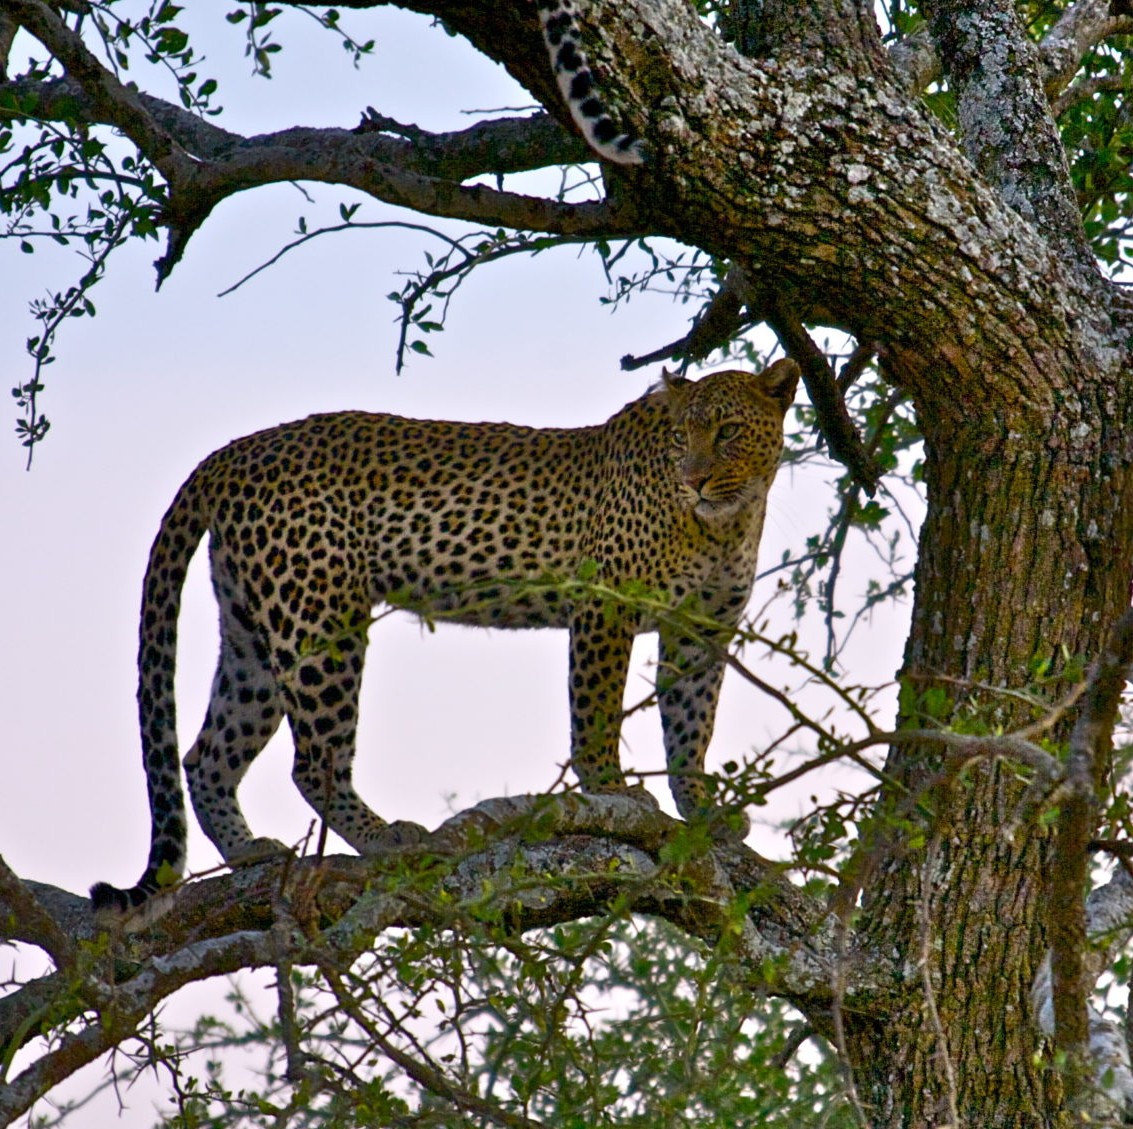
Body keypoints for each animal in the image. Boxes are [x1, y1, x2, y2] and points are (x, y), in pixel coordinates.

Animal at [90, 362, 797, 915]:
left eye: (728, 431)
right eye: (681, 436)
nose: (694, 479)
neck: (728, 521)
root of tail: (234, 451)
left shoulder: (701, 627)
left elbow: (690, 725)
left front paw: (702, 811)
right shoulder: (606, 606)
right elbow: (597, 710)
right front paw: (612, 791)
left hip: (255, 637)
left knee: (207, 755)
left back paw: (249, 853)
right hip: (321, 621)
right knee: (312, 761)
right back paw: (385, 838)